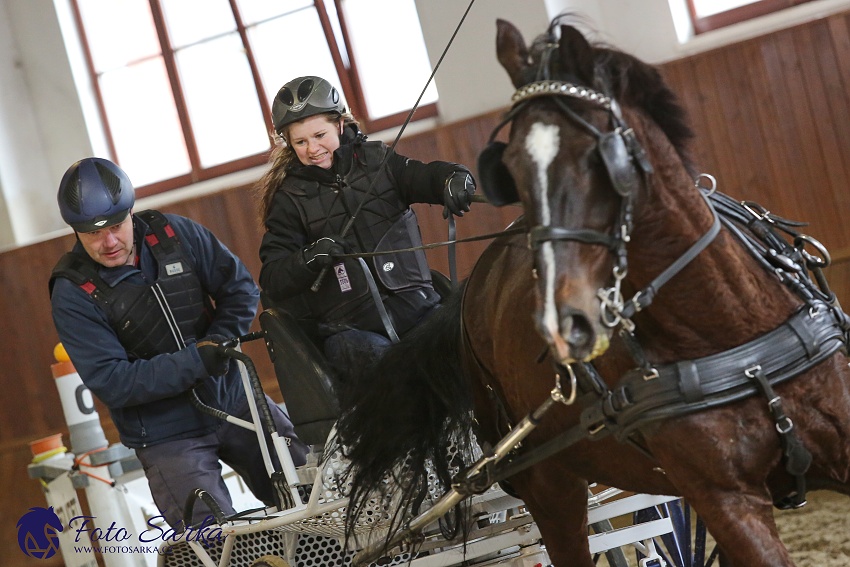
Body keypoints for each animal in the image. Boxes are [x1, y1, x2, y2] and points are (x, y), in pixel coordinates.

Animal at [334, 15, 848, 564]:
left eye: (596, 158)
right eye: (512, 169)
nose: (562, 324)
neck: (730, 331)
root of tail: (472, 285)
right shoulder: (726, 500)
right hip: (548, 487)